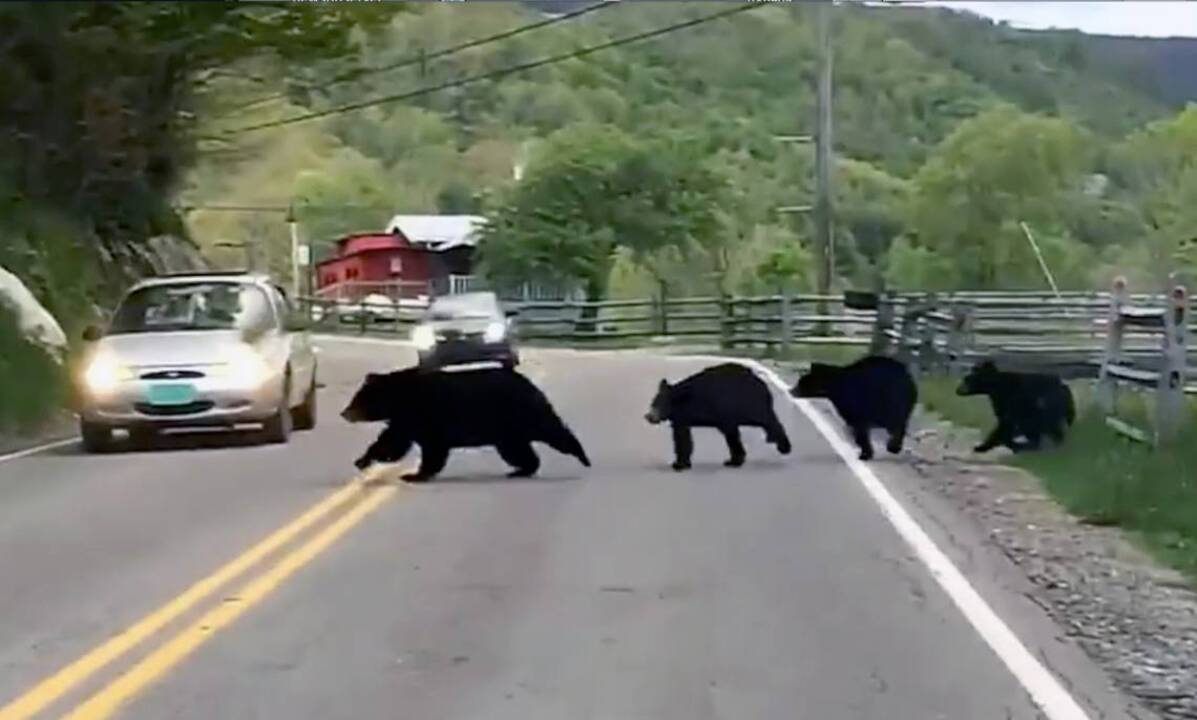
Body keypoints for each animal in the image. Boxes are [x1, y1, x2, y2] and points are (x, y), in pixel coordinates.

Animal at [341, 366, 590, 482]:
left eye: (357, 399)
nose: (344, 413)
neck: (401, 399)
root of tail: (531, 385)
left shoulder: (426, 415)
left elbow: (430, 449)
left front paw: (414, 475)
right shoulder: (406, 420)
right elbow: (392, 441)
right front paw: (362, 460)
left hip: (522, 414)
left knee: (553, 431)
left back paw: (583, 457)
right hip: (507, 431)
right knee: (518, 450)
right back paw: (520, 470)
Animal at [645, 363, 791, 471]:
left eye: (658, 405)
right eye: (652, 403)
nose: (648, 416)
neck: (684, 399)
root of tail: (762, 383)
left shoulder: (722, 410)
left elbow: (731, 435)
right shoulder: (681, 418)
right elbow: (682, 438)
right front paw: (681, 463)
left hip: (749, 404)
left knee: (766, 419)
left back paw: (783, 446)